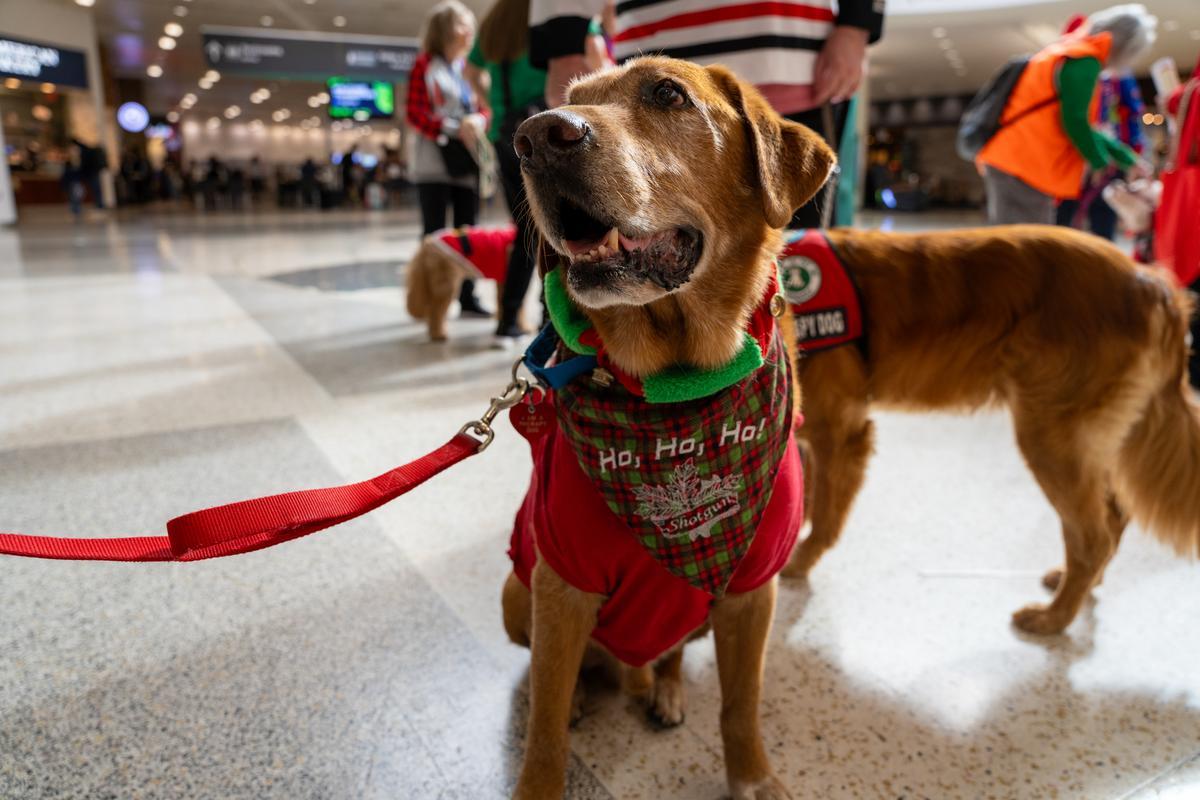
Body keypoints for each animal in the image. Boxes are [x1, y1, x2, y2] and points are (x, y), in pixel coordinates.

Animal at [501, 57, 830, 800]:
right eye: (569, 98)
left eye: (667, 94)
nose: (535, 137)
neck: (677, 388)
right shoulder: (560, 584)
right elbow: (544, 733)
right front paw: (542, 769)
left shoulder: (751, 589)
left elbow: (742, 703)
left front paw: (753, 777)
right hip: (516, 590)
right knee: (554, 677)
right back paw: (587, 696)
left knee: (672, 654)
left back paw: (666, 689)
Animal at [782, 221, 1200, 633]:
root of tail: (1154, 285)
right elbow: (804, 500)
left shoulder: (841, 434)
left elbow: (822, 519)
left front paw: (796, 564)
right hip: (1088, 443)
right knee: (1113, 519)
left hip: (1050, 439)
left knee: (1093, 539)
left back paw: (1054, 618)